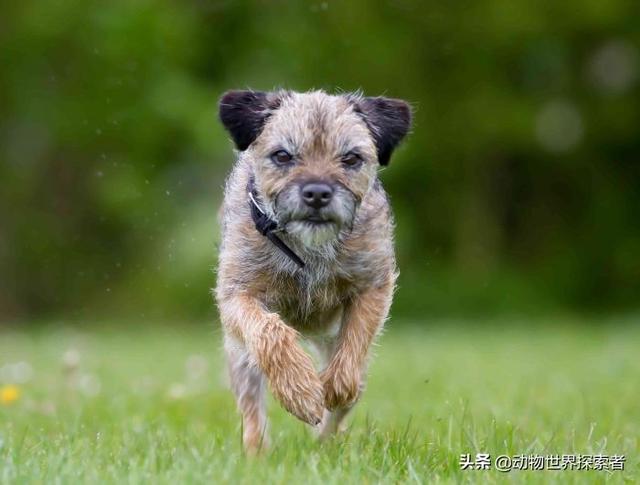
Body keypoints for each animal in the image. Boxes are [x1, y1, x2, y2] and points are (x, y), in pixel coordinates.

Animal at [218, 88, 412, 450]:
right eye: (282, 156)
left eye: (351, 158)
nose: (318, 192)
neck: (309, 248)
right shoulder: (237, 293)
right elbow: (269, 330)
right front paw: (300, 391)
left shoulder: (373, 284)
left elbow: (356, 339)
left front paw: (333, 387)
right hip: (240, 359)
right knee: (252, 408)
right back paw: (256, 452)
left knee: (348, 398)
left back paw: (326, 443)